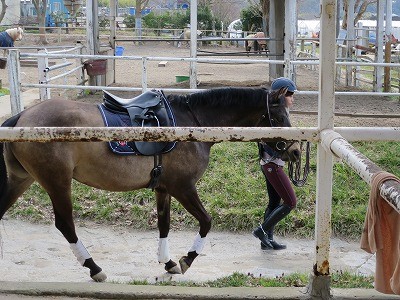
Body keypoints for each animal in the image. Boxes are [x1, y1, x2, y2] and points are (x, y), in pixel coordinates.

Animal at [0, 86, 300, 282]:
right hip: (58, 182)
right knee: (65, 224)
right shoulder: (183, 187)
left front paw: (168, 262)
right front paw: (186, 259)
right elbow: (206, 221)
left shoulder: (163, 188)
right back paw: (93, 267)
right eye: (280, 118)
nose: (296, 151)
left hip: (22, 179)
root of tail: (22, 117)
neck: (192, 124)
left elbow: (164, 225)